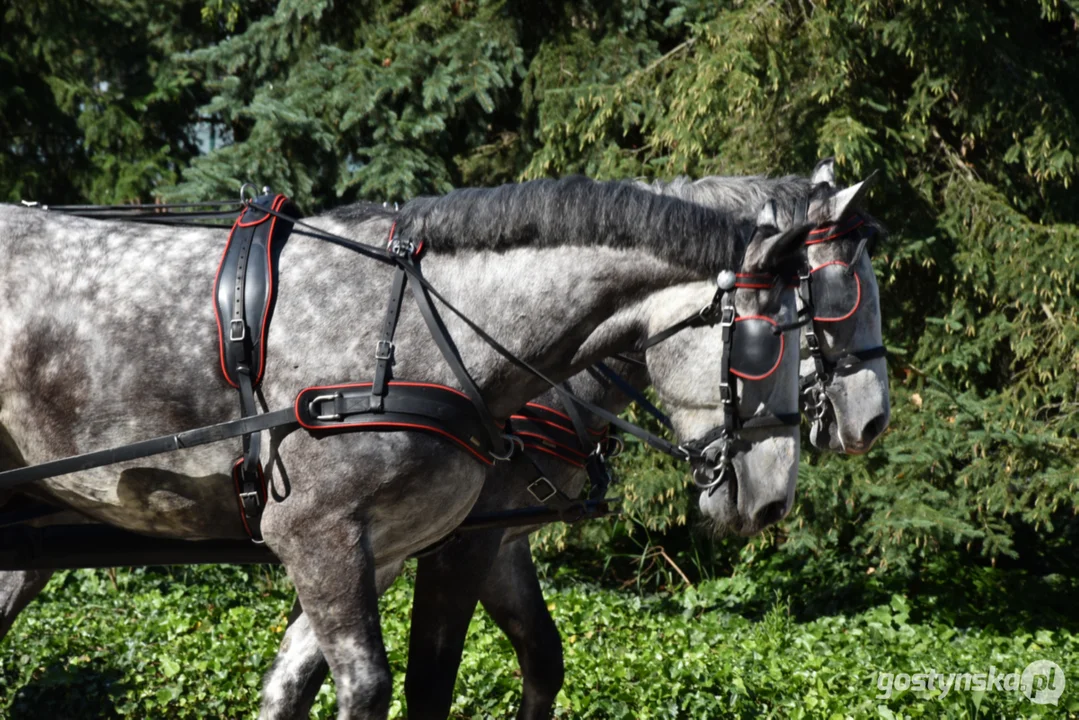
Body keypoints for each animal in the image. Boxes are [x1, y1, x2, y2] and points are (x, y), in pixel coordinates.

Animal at [0, 177, 811, 716]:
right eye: (764, 347)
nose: (771, 501)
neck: (427, 333)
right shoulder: (324, 535)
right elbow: (385, 687)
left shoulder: (400, 547)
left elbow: (305, 679)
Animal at [256, 160, 889, 716]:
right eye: (837, 297)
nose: (872, 423)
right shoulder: (439, 542)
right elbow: (425, 685)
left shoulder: (487, 543)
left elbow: (542, 661)